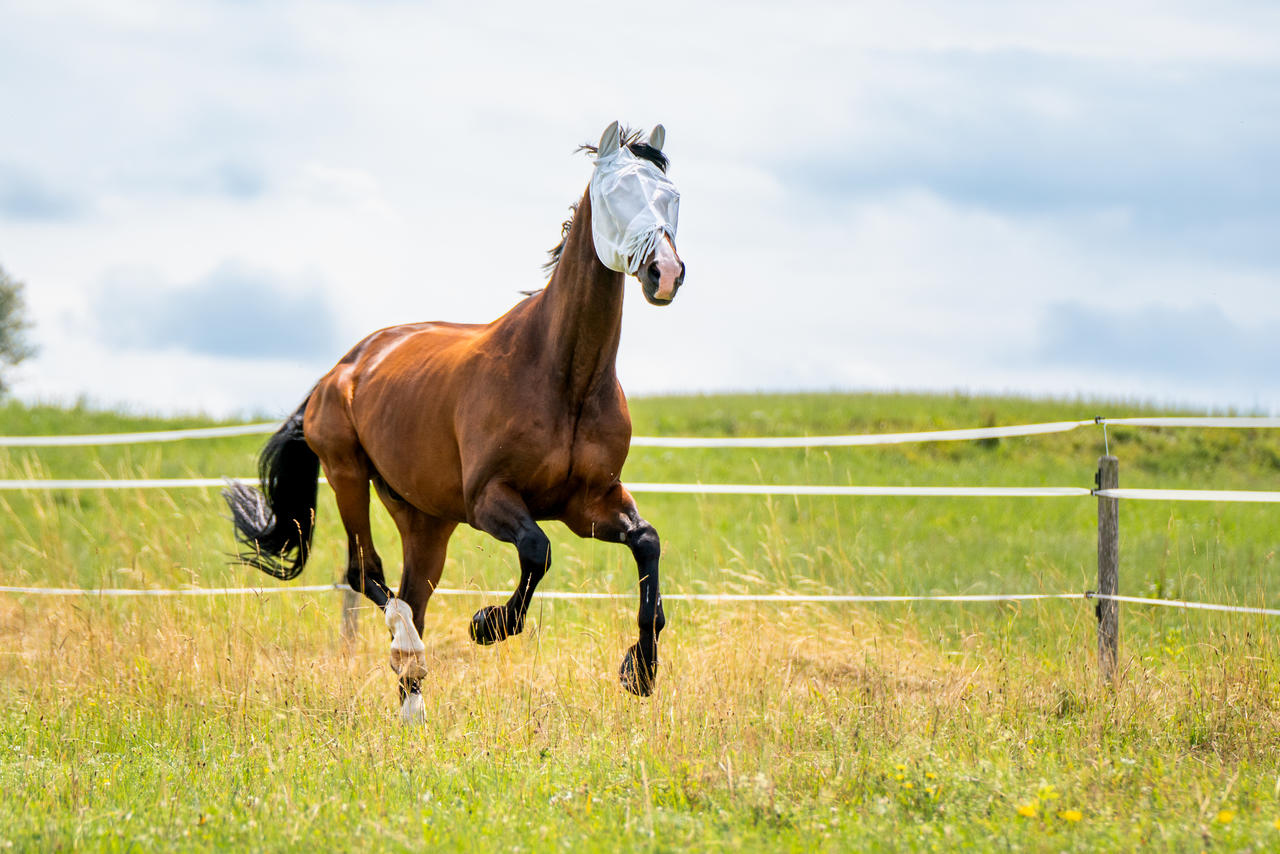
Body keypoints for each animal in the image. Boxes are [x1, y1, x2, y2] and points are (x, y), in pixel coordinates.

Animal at [224, 121, 686, 722]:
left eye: (671, 195)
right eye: (616, 192)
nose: (665, 273)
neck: (564, 376)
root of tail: (344, 366)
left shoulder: (589, 503)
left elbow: (647, 543)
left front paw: (641, 670)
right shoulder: (489, 498)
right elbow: (537, 550)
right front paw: (487, 624)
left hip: (425, 518)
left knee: (411, 592)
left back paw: (412, 705)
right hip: (348, 475)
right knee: (368, 574)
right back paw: (409, 653)